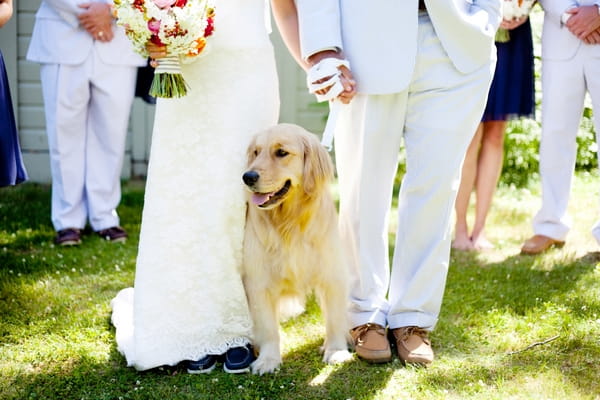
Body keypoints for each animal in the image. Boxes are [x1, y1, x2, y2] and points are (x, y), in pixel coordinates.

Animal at [240, 122, 352, 376]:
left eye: (281, 152)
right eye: (256, 152)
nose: (247, 176)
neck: (289, 222)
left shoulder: (332, 277)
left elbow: (334, 319)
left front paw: (336, 350)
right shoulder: (258, 283)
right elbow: (268, 328)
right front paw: (268, 359)